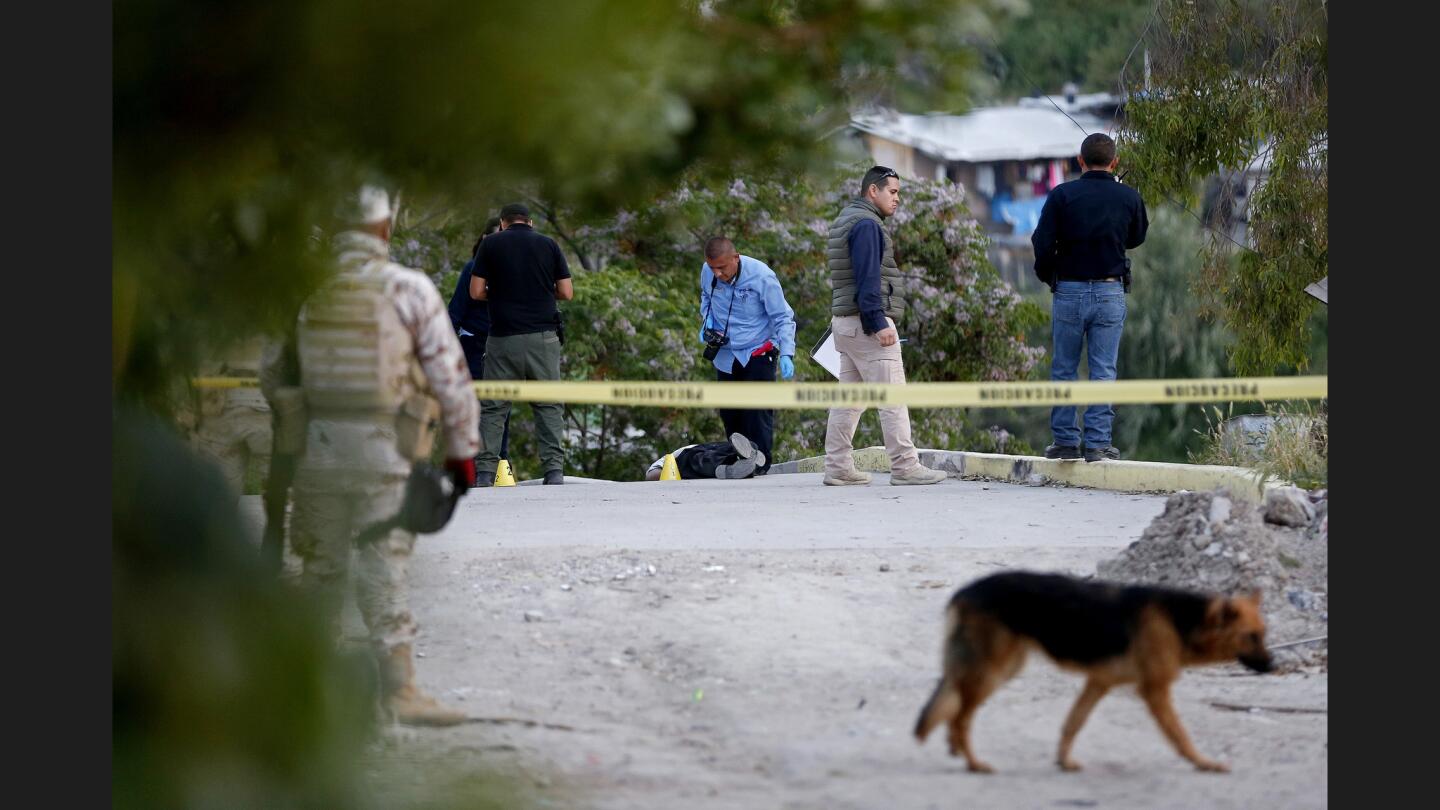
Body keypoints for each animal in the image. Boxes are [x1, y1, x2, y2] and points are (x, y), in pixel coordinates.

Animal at [910, 567, 1272, 766]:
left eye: (1264, 635)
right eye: (1251, 637)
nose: (1275, 665)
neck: (1180, 620)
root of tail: (964, 592)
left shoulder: (1098, 683)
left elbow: (1073, 723)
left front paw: (1064, 761)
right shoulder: (1155, 691)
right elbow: (1179, 734)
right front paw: (1204, 763)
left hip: (1003, 667)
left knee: (956, 708)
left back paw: (957, 751)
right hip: (995, 671)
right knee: (960, 716)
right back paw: (974, 763)